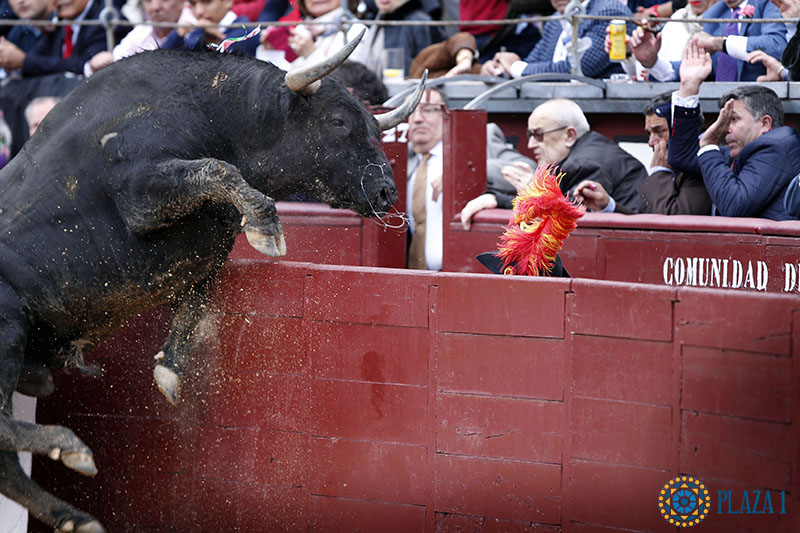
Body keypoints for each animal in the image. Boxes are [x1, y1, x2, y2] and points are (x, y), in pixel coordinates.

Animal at [0, 32, 428, 528]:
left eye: (377, 128)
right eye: (338, 121)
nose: (386, 191)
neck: (217, 114)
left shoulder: (208, 244)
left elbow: (198, 292)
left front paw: (168, 368)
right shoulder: (141, 193)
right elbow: (220, 171)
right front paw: (267, 227)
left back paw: (74, 514)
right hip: (8, 331)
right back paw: (71, 449)